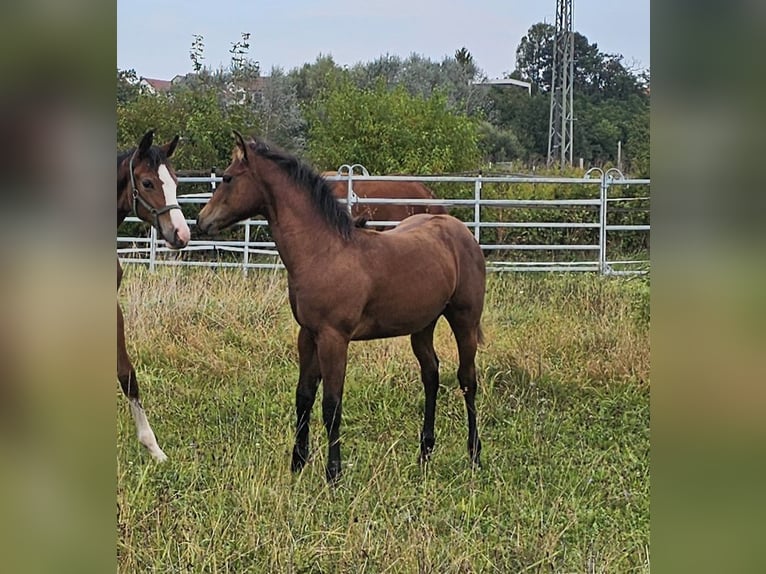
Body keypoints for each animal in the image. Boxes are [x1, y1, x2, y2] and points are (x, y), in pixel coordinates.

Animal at [198, 133, 486, 484]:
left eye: (227, 178)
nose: (201, 220)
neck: (323, 251)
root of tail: (460, 232)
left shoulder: (334, 338)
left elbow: (331, 404)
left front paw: (333, 473)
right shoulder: (308, 334)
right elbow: (304, 396)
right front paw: (297, 463)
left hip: (464, 320)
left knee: (467, 380)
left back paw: (474, 456)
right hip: (423, 324)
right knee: (431, 375)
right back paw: (424, 453)